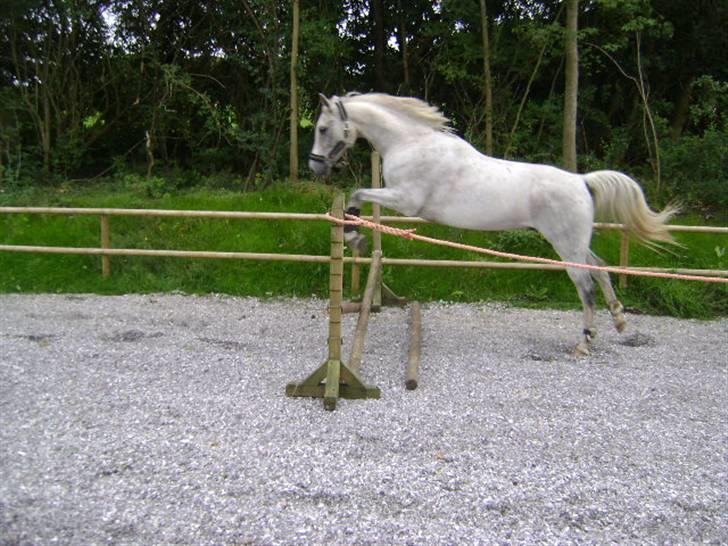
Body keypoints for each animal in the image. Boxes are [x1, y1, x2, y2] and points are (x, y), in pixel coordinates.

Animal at [308, 91, 676, 354]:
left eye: (322, 129)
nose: (315, 167)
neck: (413, 143)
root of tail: (582, 181)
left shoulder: (406, 200)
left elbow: (358, 193)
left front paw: (354, 236)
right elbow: (358, 196)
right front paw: (355, 235)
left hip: (566, 246)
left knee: (586, 286)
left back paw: (585, 342)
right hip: (576, 244)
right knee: (600, 269)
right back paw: (619, 319)